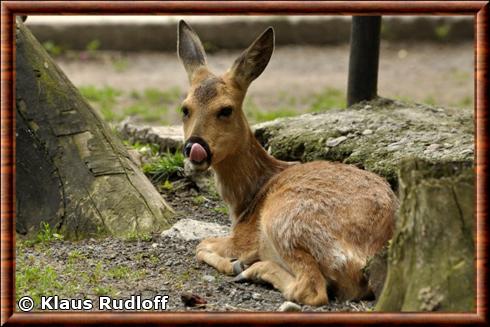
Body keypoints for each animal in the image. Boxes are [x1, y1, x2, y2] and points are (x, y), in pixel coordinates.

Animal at [176, 21, 398, 308]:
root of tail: (369, 257)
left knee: (310, 289)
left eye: (226, 109)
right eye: (185, 108)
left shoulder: (243, 237)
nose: (193, 147)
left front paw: (236, 262)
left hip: (286, 221)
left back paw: (250, 269)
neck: (247, 200)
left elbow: (201, 245)